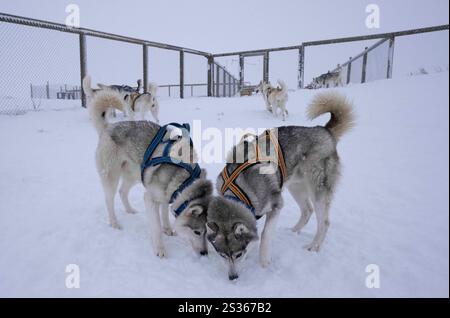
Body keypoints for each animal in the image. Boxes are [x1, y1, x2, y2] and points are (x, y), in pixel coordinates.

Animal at [88, 87, 214, 258]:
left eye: (209, 233)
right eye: (197, 232)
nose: (204, 253)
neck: (184, 175)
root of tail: (108, 127)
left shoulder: (166, 194)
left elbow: (165, 215)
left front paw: (167, 229)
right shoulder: (150, 198)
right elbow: (156, 226)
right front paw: (160, 248)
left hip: (134, 174)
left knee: (122, 191)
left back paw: (130, 210)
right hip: (111, 177)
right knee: (109, 200)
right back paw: (114, 222)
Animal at [207, 91, 356, 278]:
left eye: (238, 254)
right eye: (222, 255)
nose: (232, 277)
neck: (240, 190)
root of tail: (324, 130)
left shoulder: (276, 205)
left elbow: (265, 234)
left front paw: (264, 262)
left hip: (317, 190)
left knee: (325, 221)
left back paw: (314, 246)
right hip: (295, 187)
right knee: (307, 210)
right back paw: (293, 231)